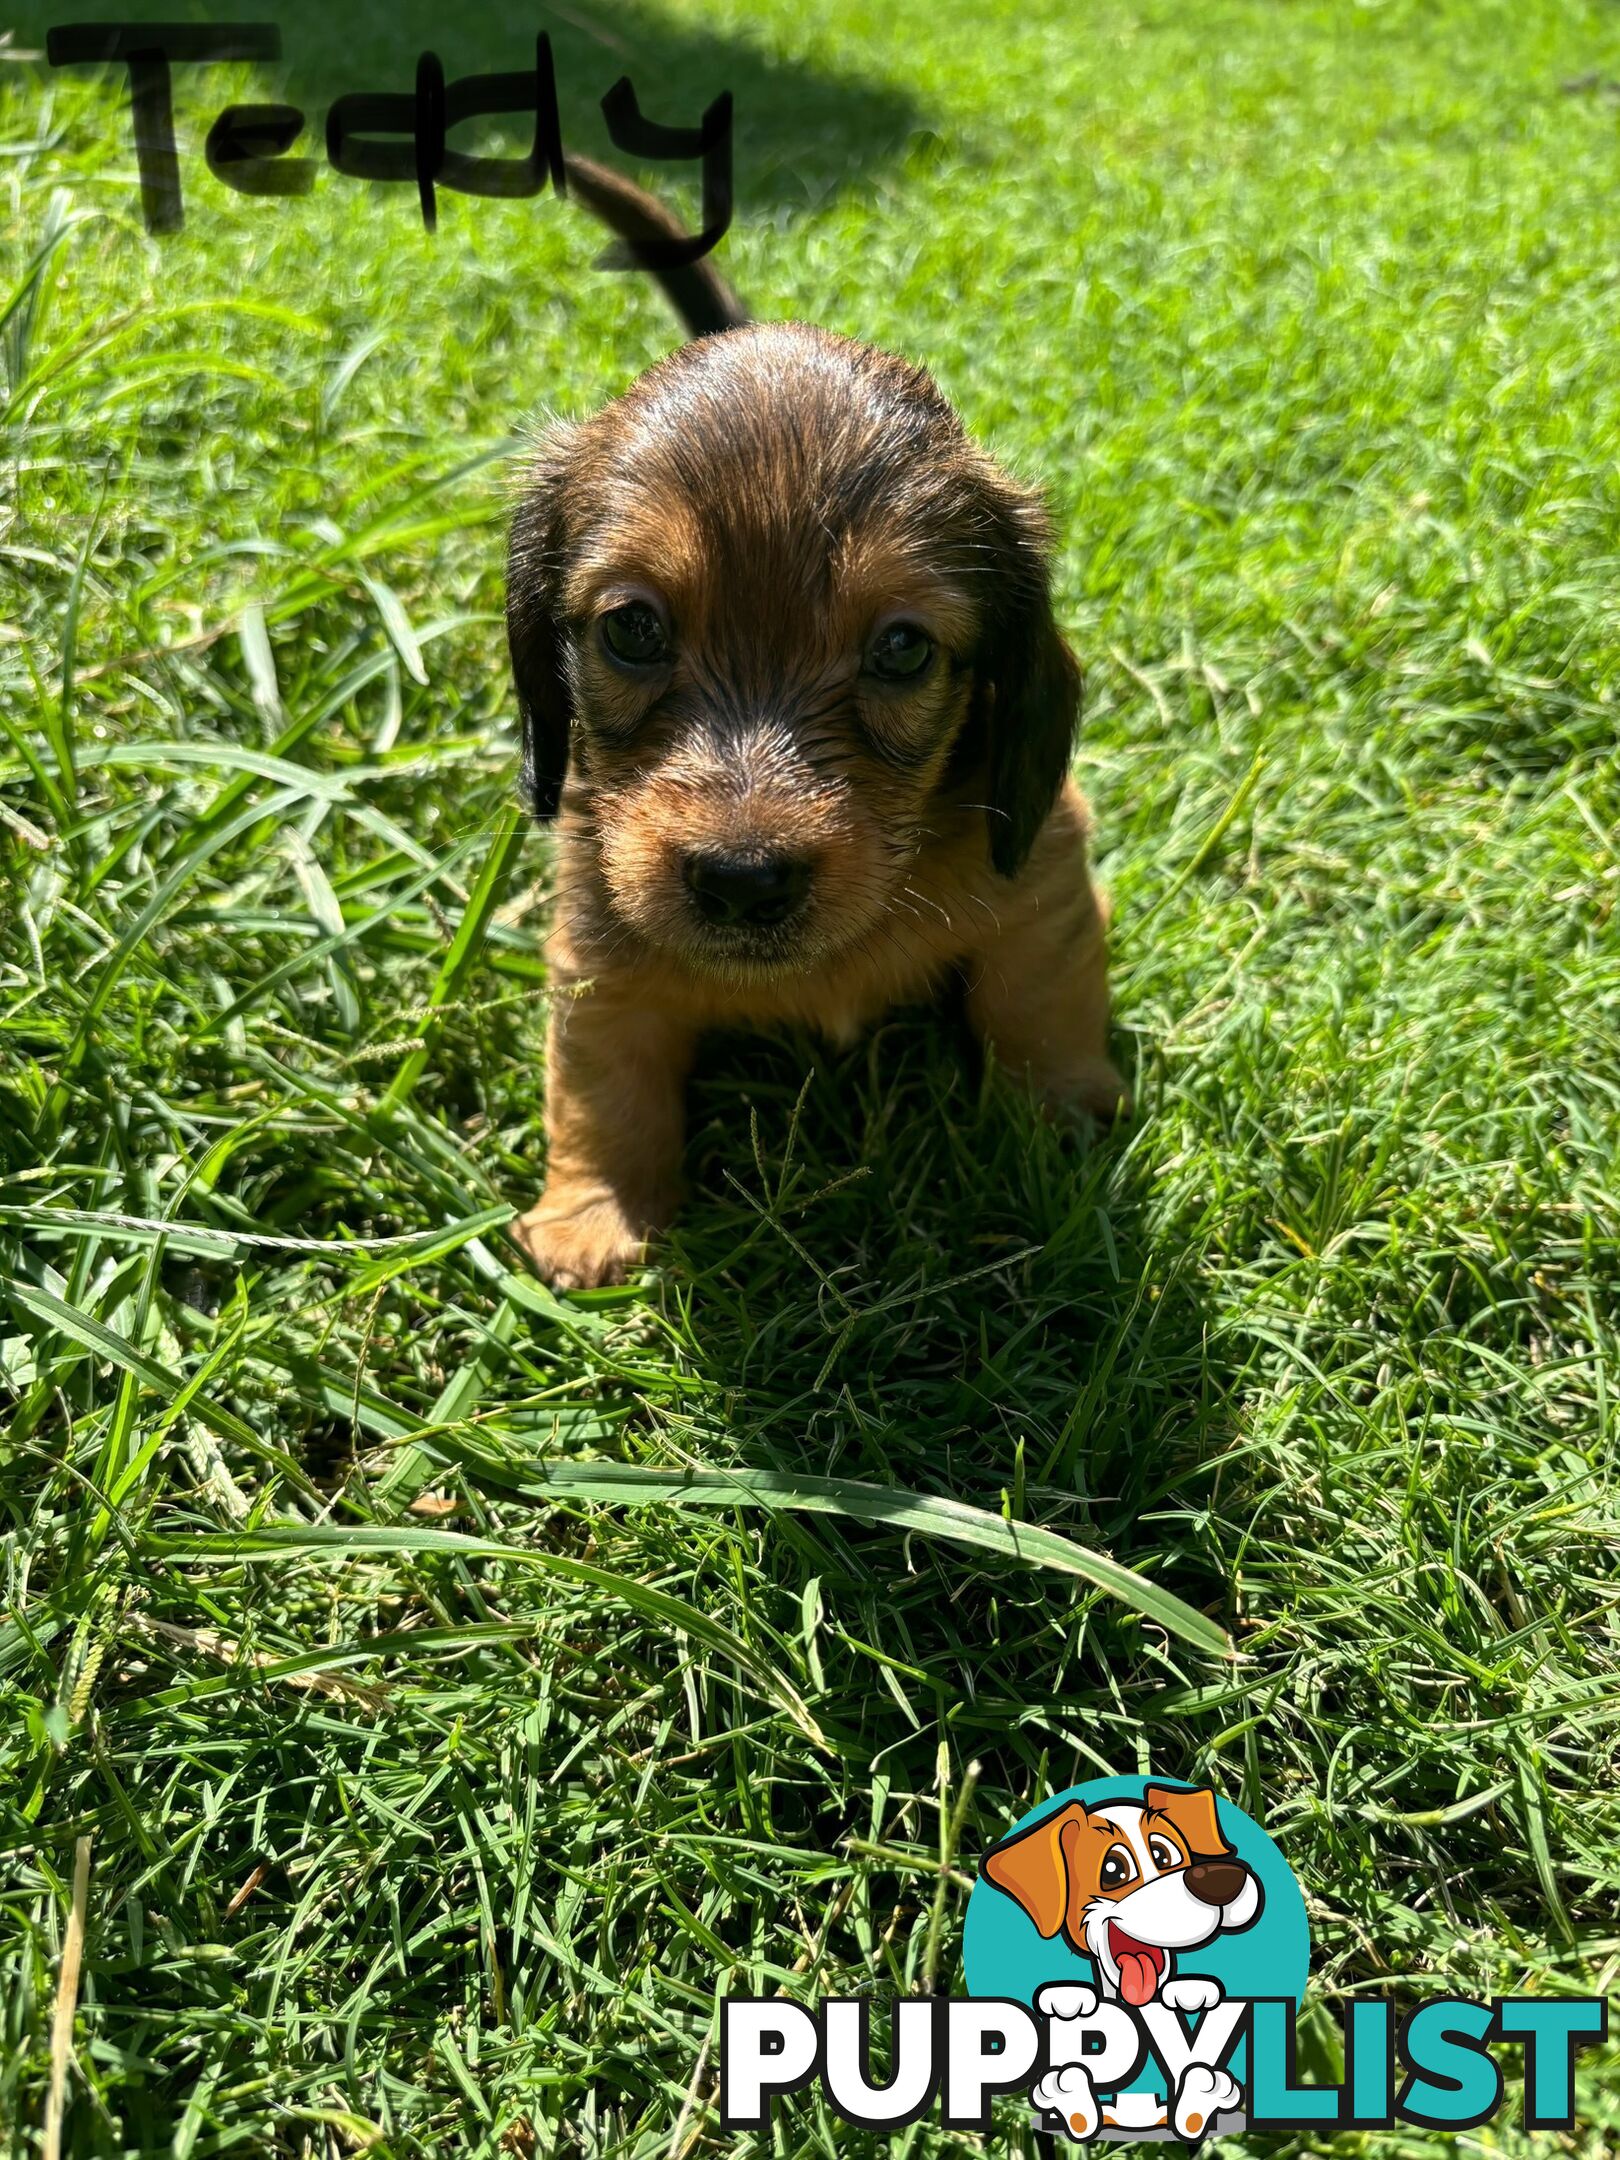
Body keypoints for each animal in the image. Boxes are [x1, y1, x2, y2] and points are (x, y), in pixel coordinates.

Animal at [507, 172, 1131, 1278]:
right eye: (631, 628)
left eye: (903, 649)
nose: (743, 881)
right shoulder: (596, 938)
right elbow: (600, 1081)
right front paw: (593, 1212)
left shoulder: (1045, 870)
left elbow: (1036, 999)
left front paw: (1056, 1126)